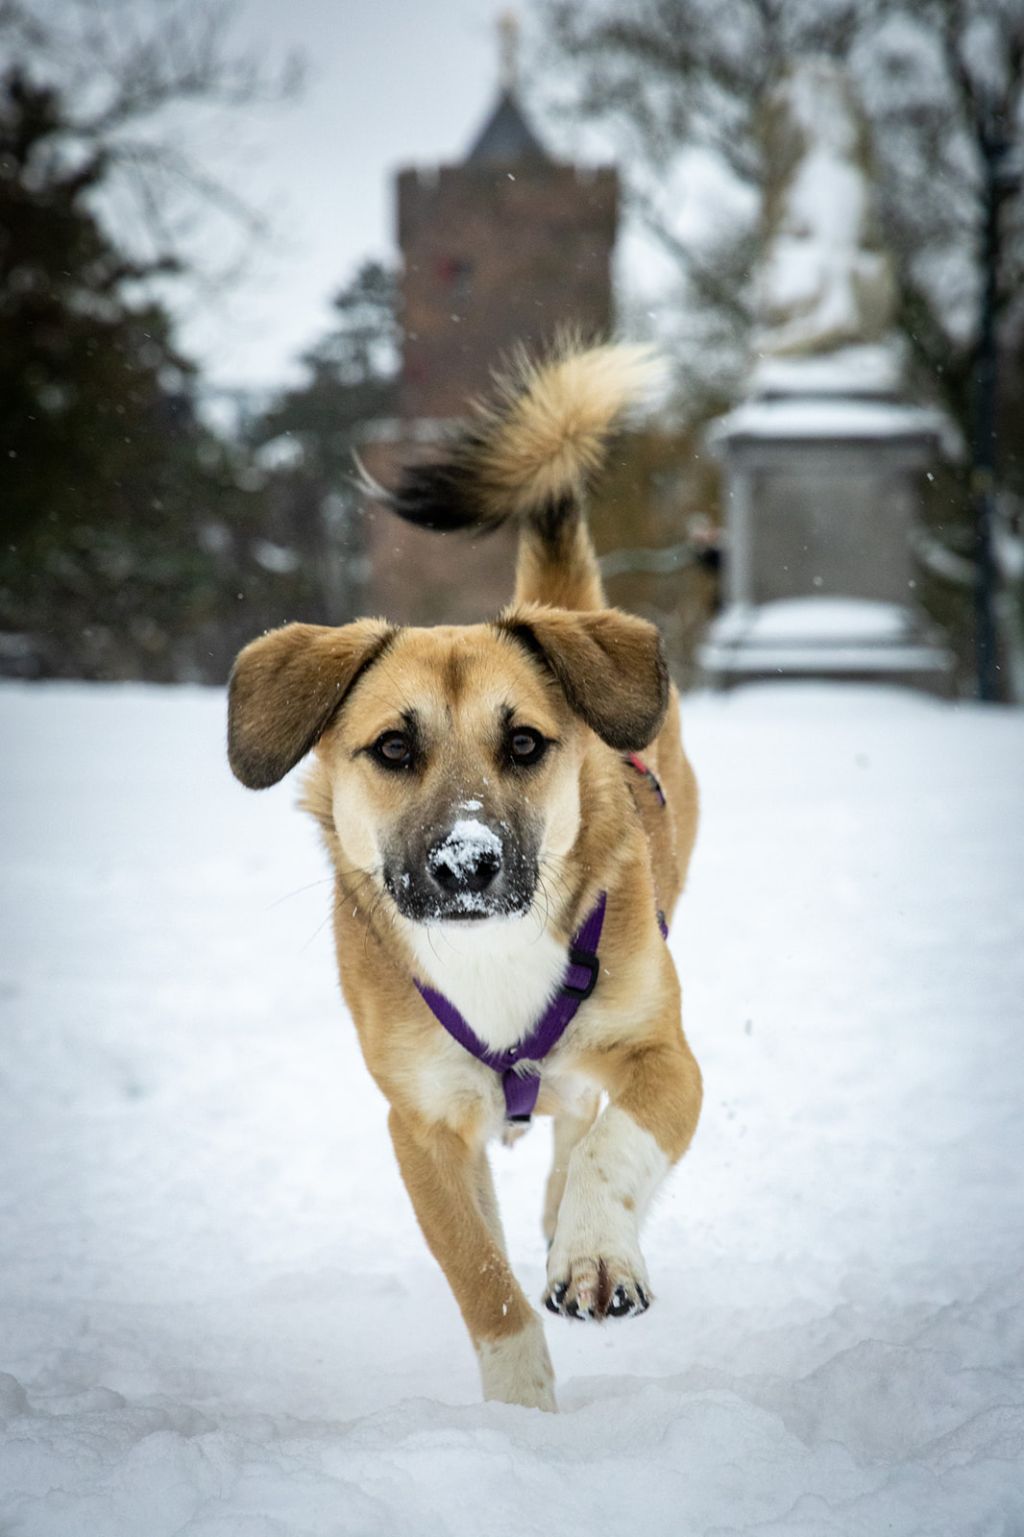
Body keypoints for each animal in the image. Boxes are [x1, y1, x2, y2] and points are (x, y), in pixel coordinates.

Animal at [227, 343, 702, 1412]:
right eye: (394, 747)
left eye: (524, 742)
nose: (466, 863)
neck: (491, 958)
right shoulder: (422, 1123)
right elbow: (483, 1282)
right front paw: (523, 1417)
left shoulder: (666, 1055)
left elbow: (616, 1143)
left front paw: (596, 1252)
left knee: (580, 1120)